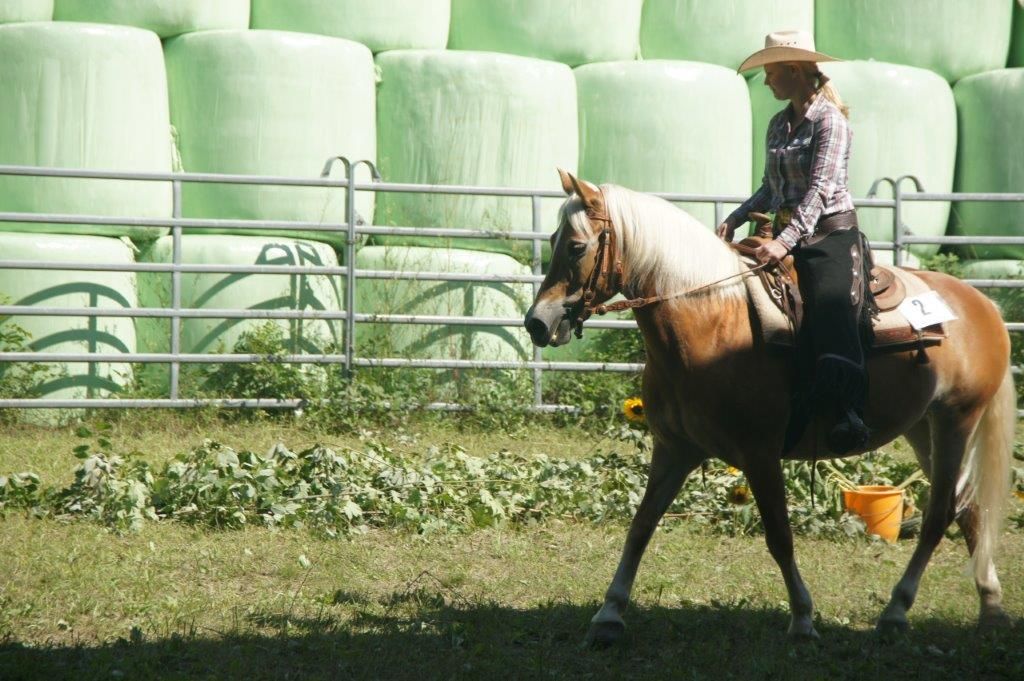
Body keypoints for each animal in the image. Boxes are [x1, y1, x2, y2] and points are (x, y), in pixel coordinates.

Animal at [524, 170, 1015, 644]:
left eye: (577, 246)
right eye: (552, 239)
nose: (536, 323)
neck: (710, 320)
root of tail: (981, 303)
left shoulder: (759, 455)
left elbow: (779, 536)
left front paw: (802, 618)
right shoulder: (674, 448)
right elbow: (641, 525)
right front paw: (609, 615)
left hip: (957, 419)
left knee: (940, 514)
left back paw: (897, 611)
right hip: (922, 427)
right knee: (967, 506)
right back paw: (990, 606)